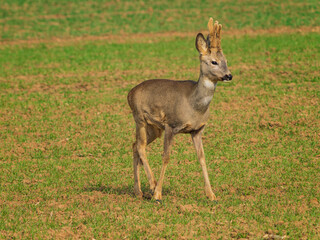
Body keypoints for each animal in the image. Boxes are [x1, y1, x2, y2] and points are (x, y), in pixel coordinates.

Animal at [127, 17, 232, 201]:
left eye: (226, 60)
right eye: (214, 61)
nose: (229, 75)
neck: (194, 106)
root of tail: (129, 93)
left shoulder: (197, 130)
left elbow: (202, 158)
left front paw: (211, 194)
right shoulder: (171, 125)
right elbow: (166, 157)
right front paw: (158, 193)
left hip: (154, 127)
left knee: (135, 145)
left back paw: (138, 191)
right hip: (139, 118)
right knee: (140, 146)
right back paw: (152, 185)